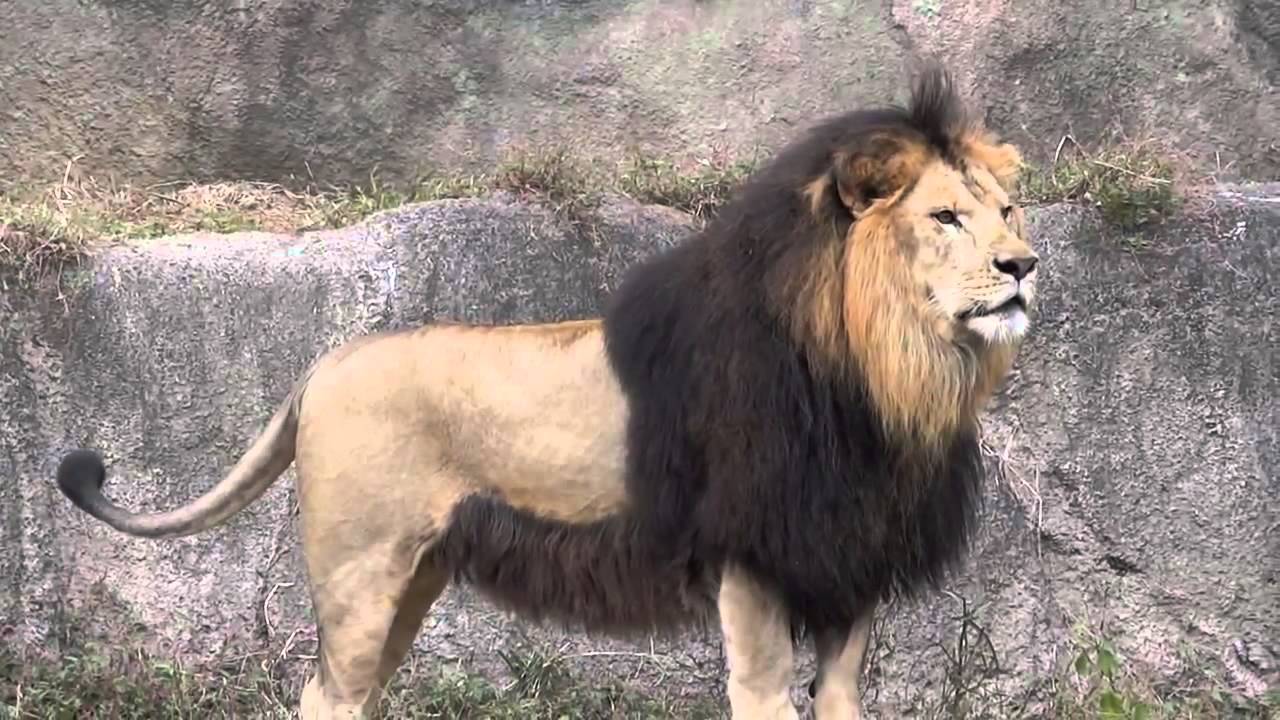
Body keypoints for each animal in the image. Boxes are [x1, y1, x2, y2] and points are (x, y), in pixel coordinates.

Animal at [54, 63, 1039, 720]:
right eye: (945, 216)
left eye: (1006, 212)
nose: (1025, 265)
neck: (887, 375)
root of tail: (320, 366)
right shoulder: (753, 566)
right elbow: (763, 699)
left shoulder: (849, 569)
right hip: (358, 570)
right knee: (326, 697)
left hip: (414, 576)